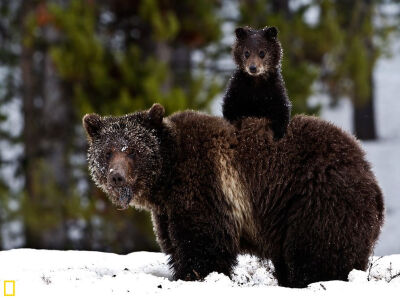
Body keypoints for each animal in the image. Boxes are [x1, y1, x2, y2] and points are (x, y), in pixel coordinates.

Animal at [82, 103, 384, 288]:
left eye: (132, 150)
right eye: (107, 151)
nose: (116, 176)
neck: (166, 178)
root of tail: (366, 165)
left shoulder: (205, 185)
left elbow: (203, 244)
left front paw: (195, 276)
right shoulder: (167, 211)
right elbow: (175, 244)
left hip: (316, 199)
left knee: (318, 250)